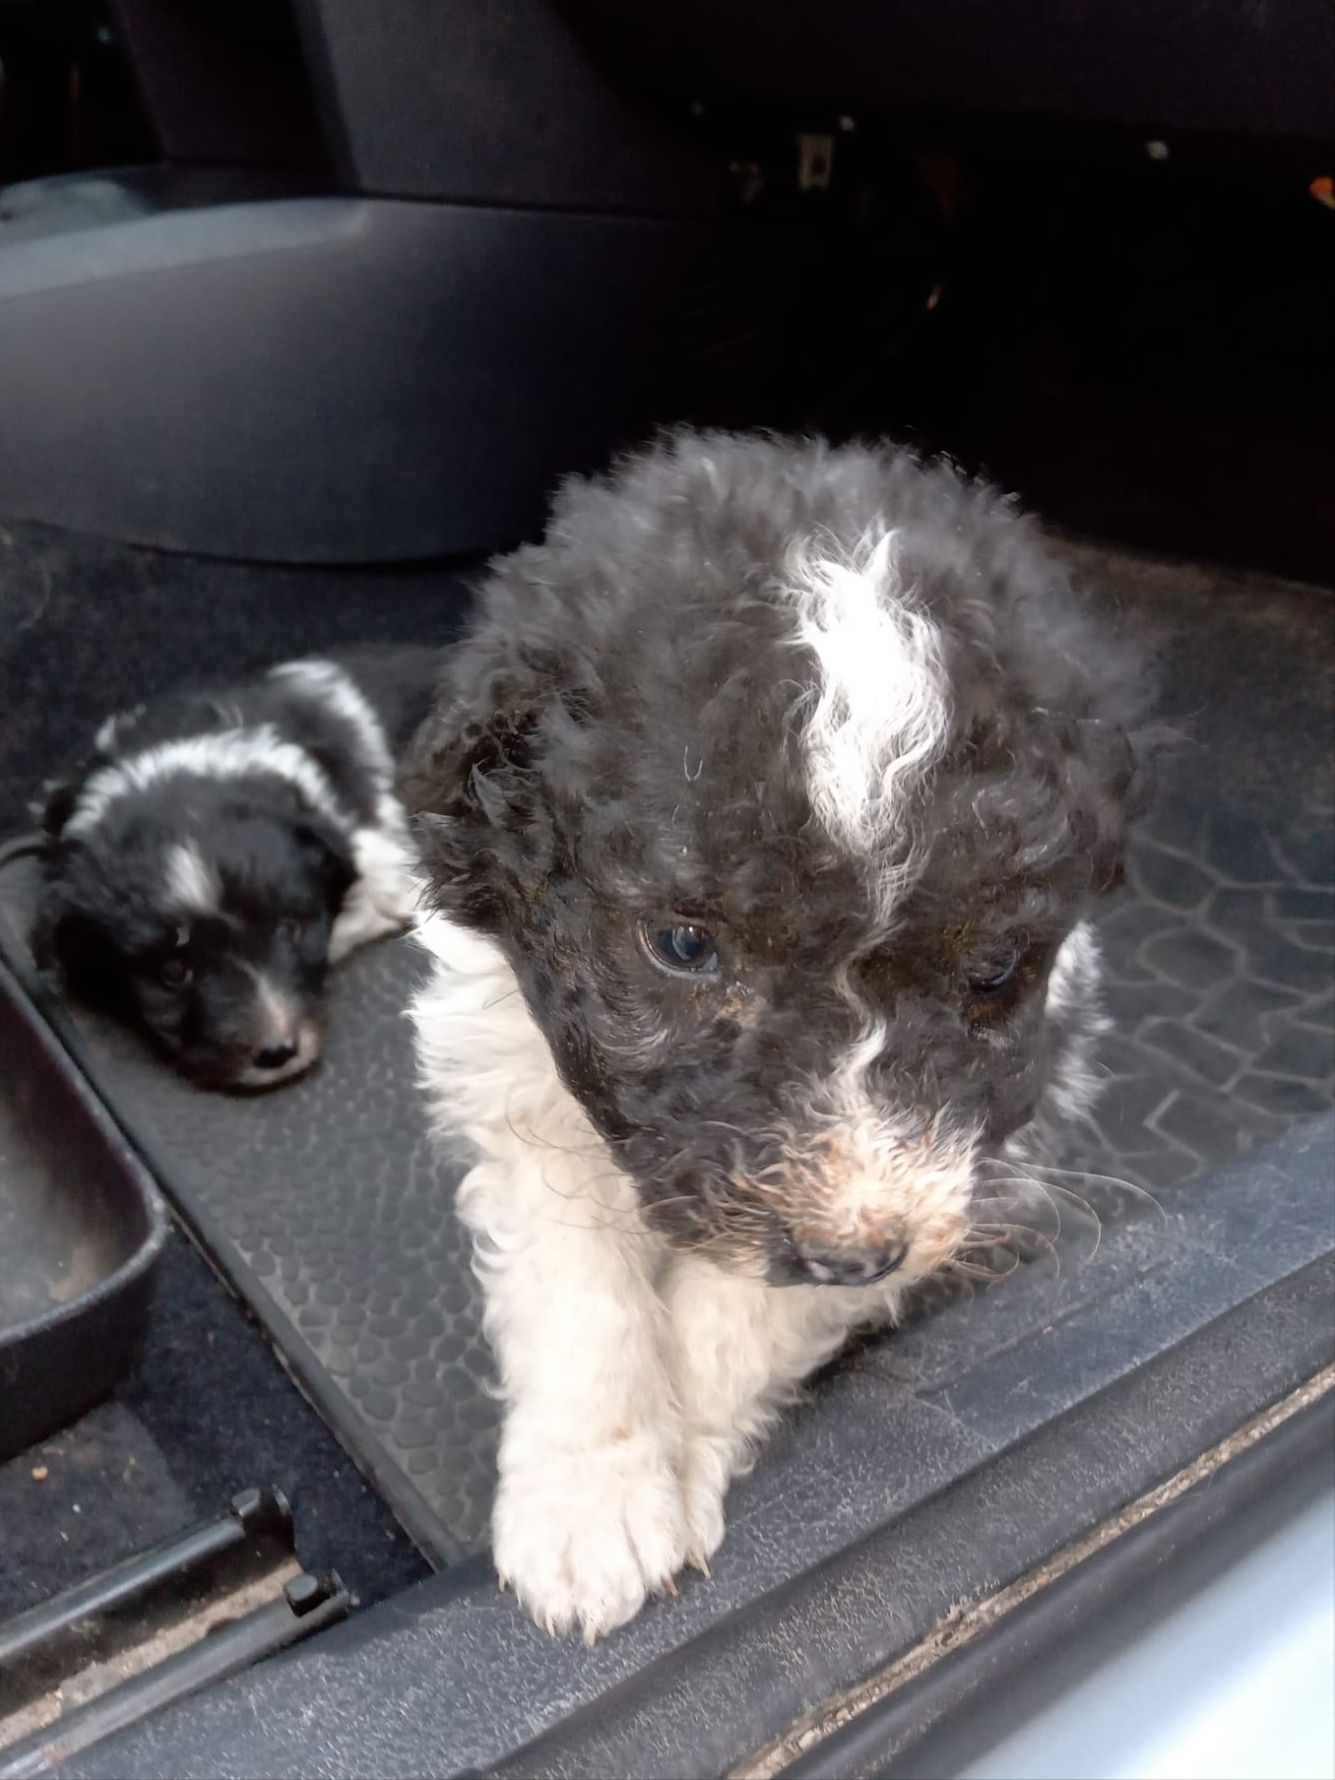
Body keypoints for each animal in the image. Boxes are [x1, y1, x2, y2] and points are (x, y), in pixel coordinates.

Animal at [405, 432, 1153, 1640]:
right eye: (683, 944)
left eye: (994, 973)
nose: (857, 1251)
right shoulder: (514, 1074)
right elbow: (576, 1291)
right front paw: (591, 1501)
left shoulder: (967, 1157)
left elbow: (742, 1316)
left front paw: (676, 1455)